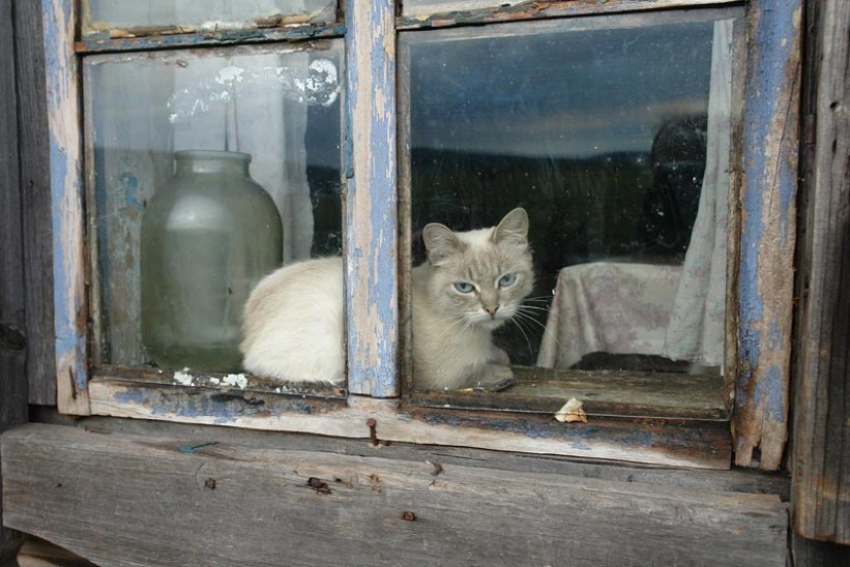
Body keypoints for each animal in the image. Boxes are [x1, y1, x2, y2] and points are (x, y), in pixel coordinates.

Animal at [238, 207, 528, 390]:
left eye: (506, 281)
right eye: (465, 287)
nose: (492, 308)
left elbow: (496, 355)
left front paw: (499, 356)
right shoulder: (442, 375)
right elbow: (476, 372)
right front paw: (501, 372)